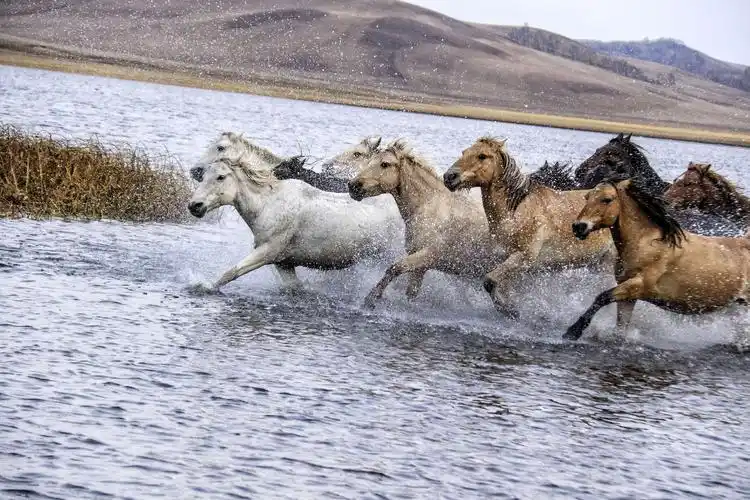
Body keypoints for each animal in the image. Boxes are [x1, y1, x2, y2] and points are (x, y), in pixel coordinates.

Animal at [187, 156, 404, 291]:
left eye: (221, 177)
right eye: (204, 176)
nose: (194, 205)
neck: (268, 204)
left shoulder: (268, 252)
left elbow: (231, 272)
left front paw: (204, 286)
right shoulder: (284, 263)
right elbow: (294, 288)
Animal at [347, 139, 502, 307]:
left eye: (385, 164)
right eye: (369, 161)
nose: (353, 185)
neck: (429, 207)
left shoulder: (427, 256)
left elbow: (394, 268)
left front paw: (371, 299)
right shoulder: (420, 266)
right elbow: (410, 292)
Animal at [443, 136, 615, 317]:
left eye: (482, 156)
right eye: (464, 152)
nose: (449, 176)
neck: (517, 211)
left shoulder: (525, 257)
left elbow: (490, 281)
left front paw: (510, 310)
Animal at [566, 178, 750, 341]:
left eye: (607, 199)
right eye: (587, 197)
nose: (578, 227)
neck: (646, 243)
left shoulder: (638, 285)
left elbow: (602, 297)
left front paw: (573, 331)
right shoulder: (629, 294)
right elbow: (621, 325)